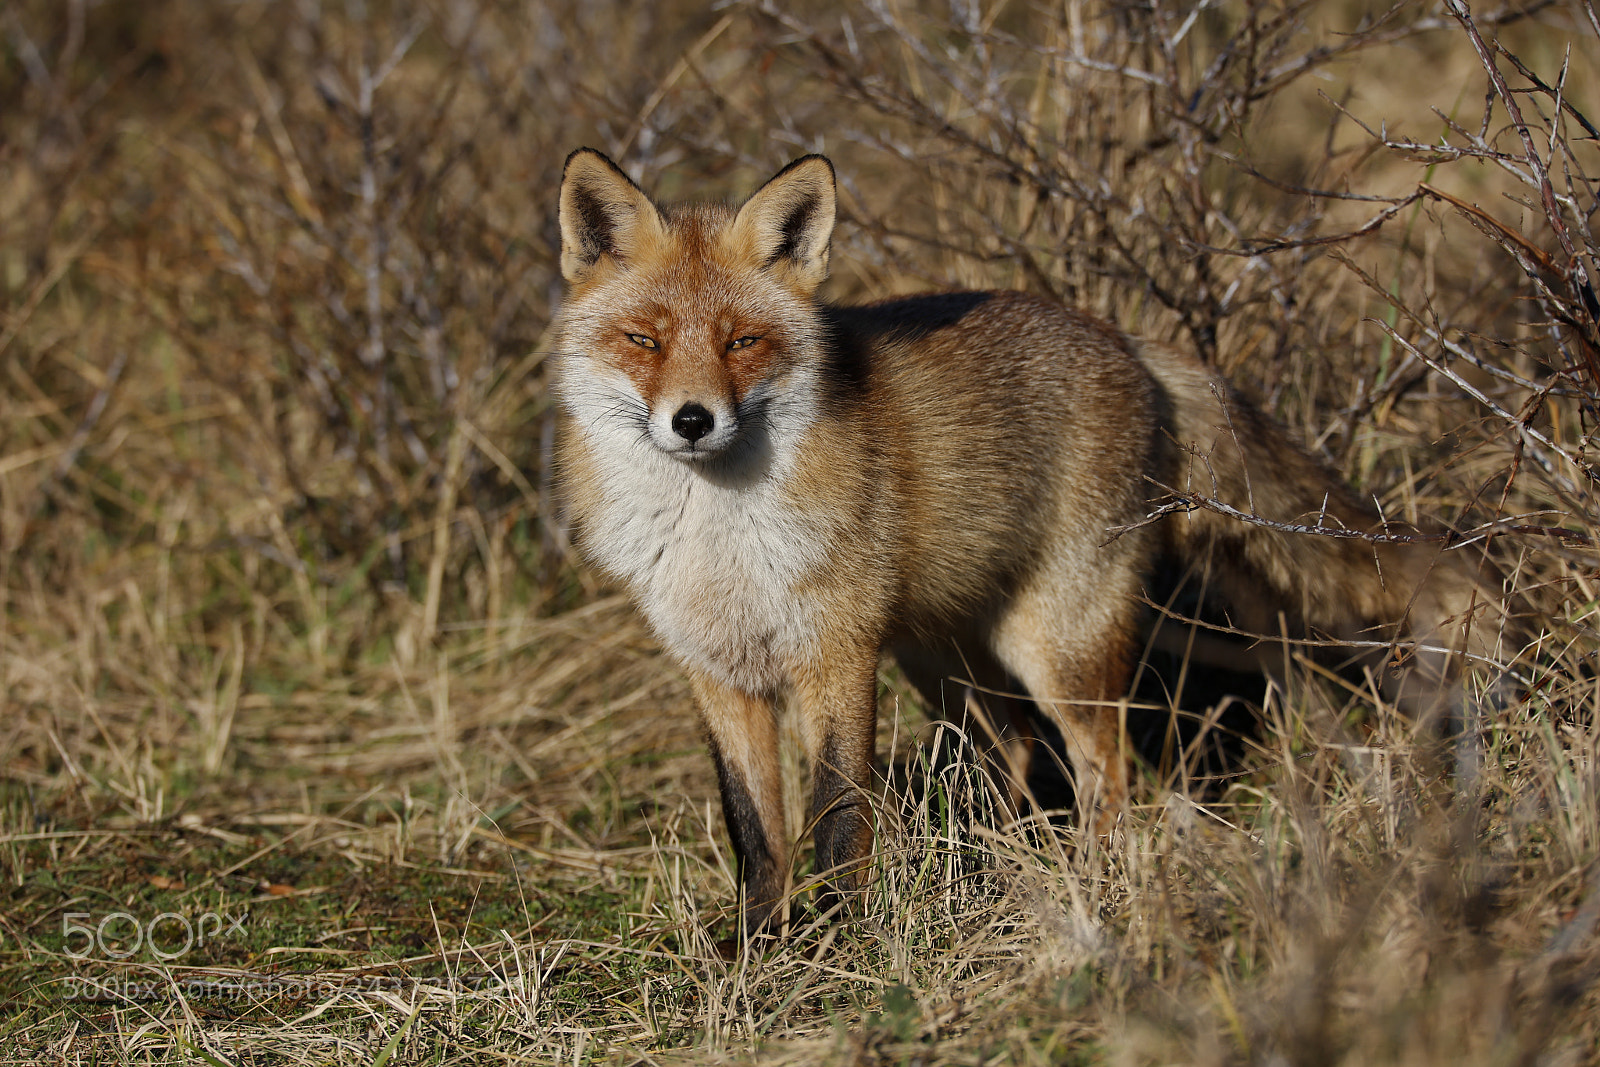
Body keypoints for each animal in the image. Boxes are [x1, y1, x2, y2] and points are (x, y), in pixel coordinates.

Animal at [550, 147, 1518, 941]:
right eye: (644, 340)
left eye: (743, 340)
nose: (692, 420)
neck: (717, 540)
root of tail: (1128, 341)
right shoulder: (716, 672)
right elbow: (755, 832)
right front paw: (754, 950)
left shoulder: (837, 659)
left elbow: (836, 818)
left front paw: (835, 945)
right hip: (944, 655)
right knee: (1013, 748)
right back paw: (997, 869)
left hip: (1052, 646)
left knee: (1106, 771)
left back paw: (1094, 890)